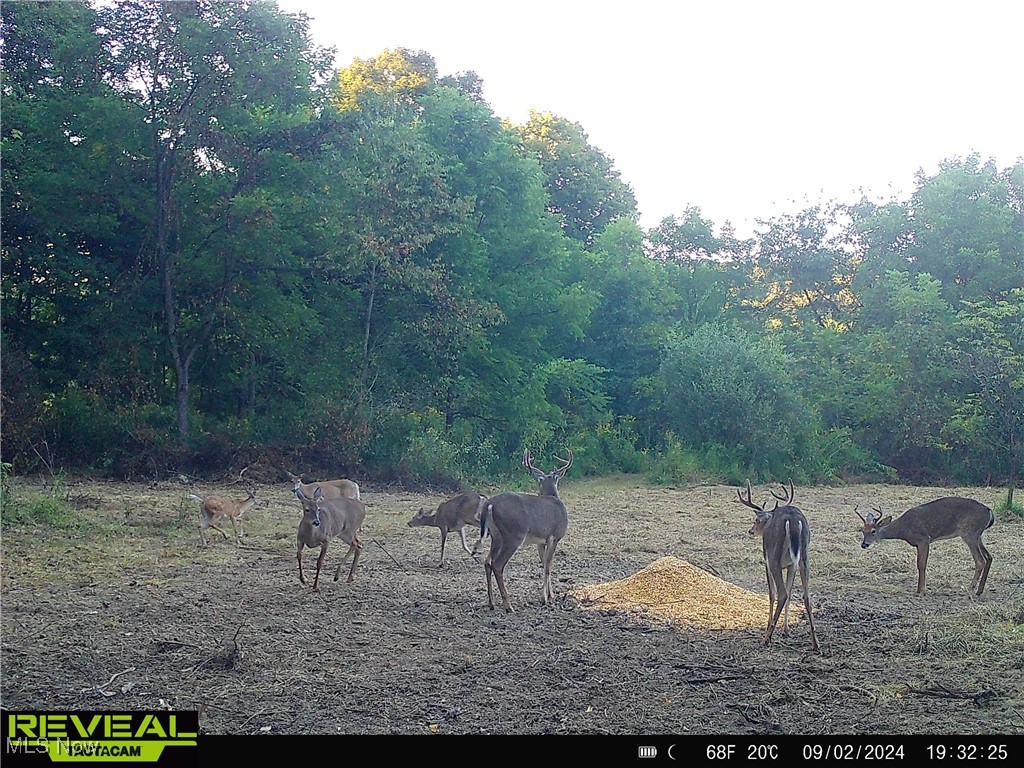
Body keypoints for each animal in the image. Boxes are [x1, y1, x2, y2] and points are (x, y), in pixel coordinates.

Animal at [477, 450, 573, 614]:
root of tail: (489, 504)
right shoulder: (554, 536)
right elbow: (548, 566)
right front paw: (545, 598)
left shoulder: (541, 541)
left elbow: (545, 563)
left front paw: (550, 594)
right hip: (514, 535)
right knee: (497, 565)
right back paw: (508, 605)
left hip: (496, 536)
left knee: (487, 562)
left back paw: (491, 603)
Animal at [741, 481, 819, 655]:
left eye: (756, 520)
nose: (750, 531)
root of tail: (793, 520)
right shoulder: (791, 564)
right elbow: (790, 593)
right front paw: (786, 629)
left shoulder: (767, 562)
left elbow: (772, 593)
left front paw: (769, 626)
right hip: (804, 557)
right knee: (806, 596)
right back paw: (816, 644)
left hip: (774, 557)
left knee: (782, 593)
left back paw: (766, 639)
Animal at [851, 495, 995, 598]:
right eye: (862, 530)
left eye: (873, 531)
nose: (864, 544)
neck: (903, 529)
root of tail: (989, 511)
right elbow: (920, 564)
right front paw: (920, 589)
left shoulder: (924, 539)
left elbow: (921, 564)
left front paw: (921, 591)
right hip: (978, 535)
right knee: (989, 557)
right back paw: (979, 591)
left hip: (969, 533)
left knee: (980, 560)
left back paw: (969, 591)